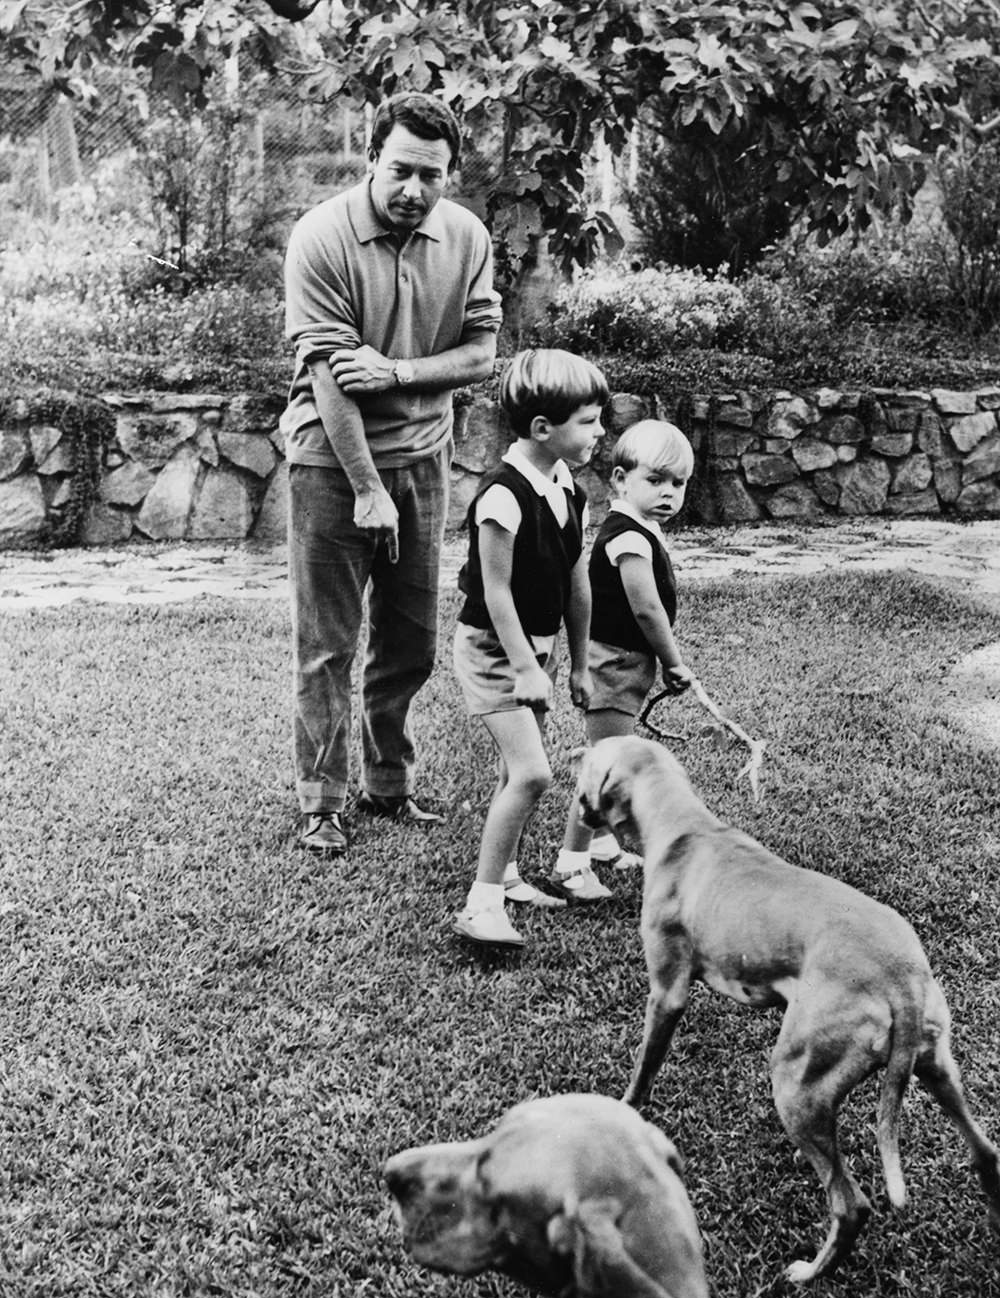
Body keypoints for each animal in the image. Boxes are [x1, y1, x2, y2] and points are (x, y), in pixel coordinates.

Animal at [571, 737, 997, 1282]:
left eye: (589, 762)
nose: (576, 793)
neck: (685, 827)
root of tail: (904, 976)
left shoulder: (667, 993)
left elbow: (644, 1069)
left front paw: (623, 1111)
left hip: (797, 1085)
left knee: (851, 1204)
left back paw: (810, 1273)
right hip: (936, 1066)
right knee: (986, 1154)